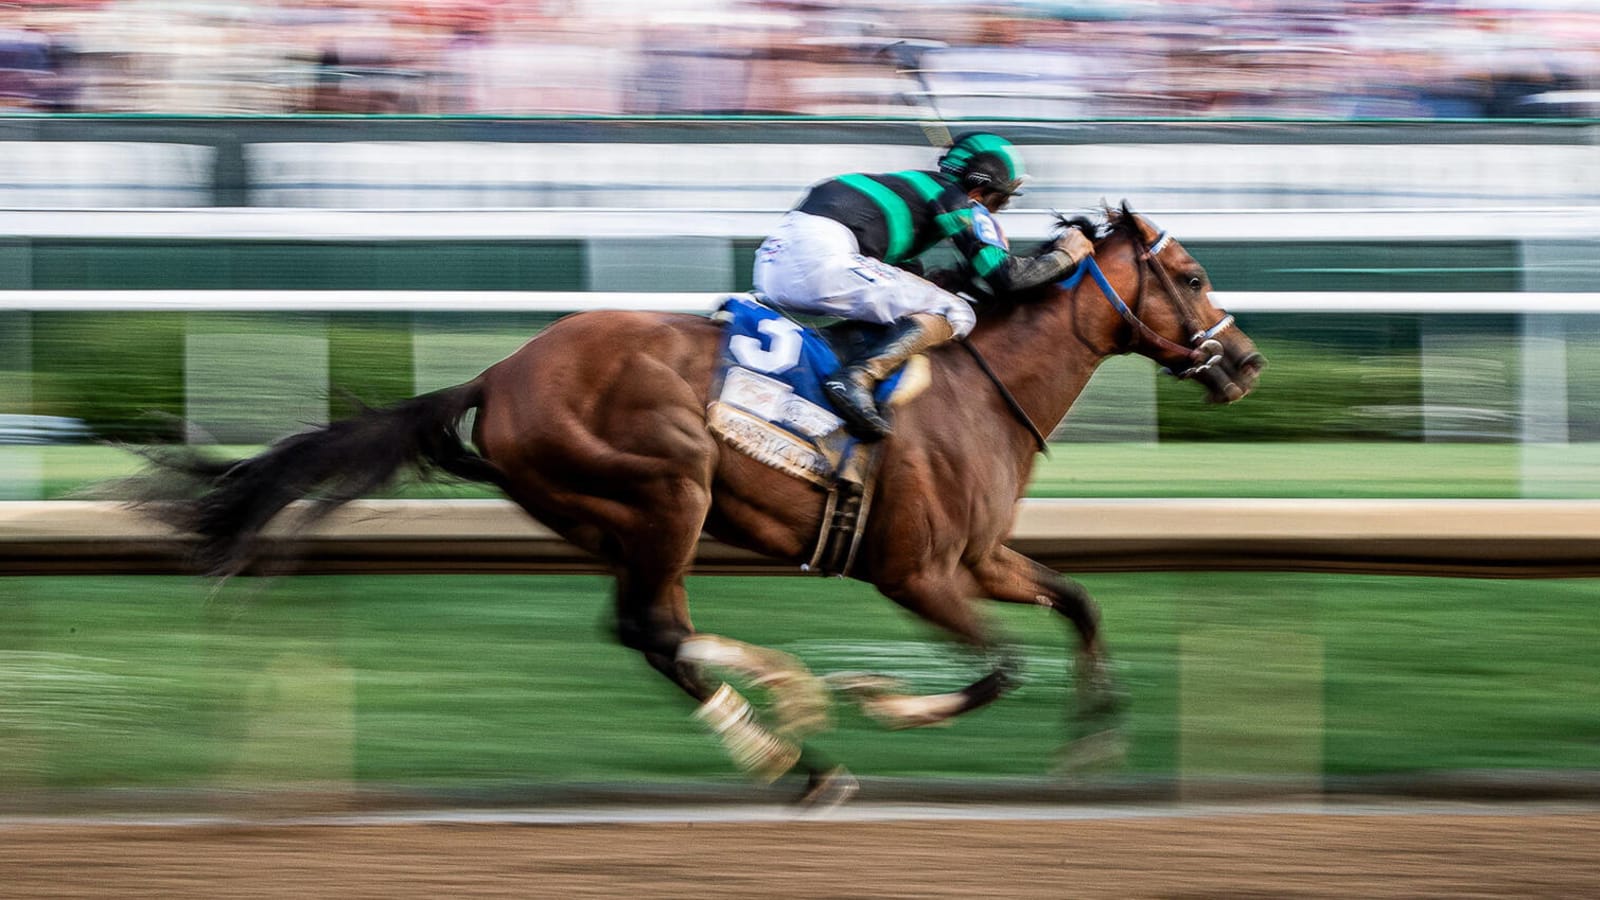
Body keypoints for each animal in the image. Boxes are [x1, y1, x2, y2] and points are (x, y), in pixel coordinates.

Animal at [137, 201, 1260, 797]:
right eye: (1193, 274)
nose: (1246, 362)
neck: (978, 387)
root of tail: (499, 373)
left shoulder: (978, 557)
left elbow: (1078, 601)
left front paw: (1098, 734)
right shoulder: (914, 571)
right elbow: (999, 664)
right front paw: (879, 696)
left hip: (622, 511)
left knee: (655, 631)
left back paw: (790, 736)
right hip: (666, 483)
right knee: (653, 625)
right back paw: (797, 730)